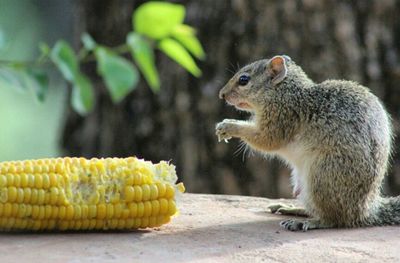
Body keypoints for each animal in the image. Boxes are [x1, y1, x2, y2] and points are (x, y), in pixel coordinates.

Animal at [216, 55, 396, 231]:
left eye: (244, 80)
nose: (221, 95)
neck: (283, 92)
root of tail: (365, 210)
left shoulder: (282, 116)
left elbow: (266, 140)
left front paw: (229, 126)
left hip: (322, 177)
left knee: (336, 219)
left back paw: (307, 222)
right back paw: (291, 208)